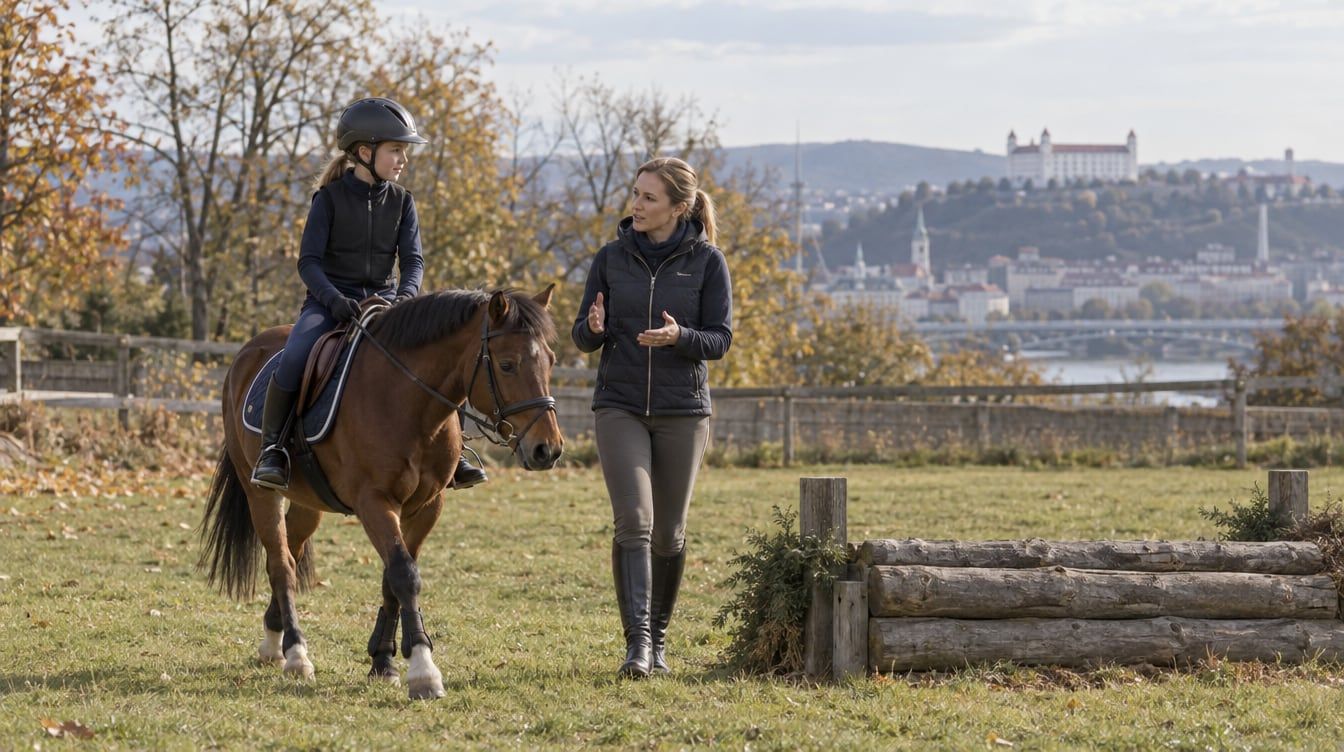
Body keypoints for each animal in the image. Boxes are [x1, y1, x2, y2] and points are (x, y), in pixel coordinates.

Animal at [199, 287, 564, 700]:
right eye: (507, 365)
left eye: (550, 361)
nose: (547, 449)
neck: (408, 403)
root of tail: (246, 353)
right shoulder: (374, 502)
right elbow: (404, 573)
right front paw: (423, 670)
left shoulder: (426, 506)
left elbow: (393, 576)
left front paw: (383, 660)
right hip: (260, 492)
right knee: (280, 564)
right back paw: (296, 654)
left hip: (308, 504)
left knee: (290, 552)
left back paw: (273, 642)